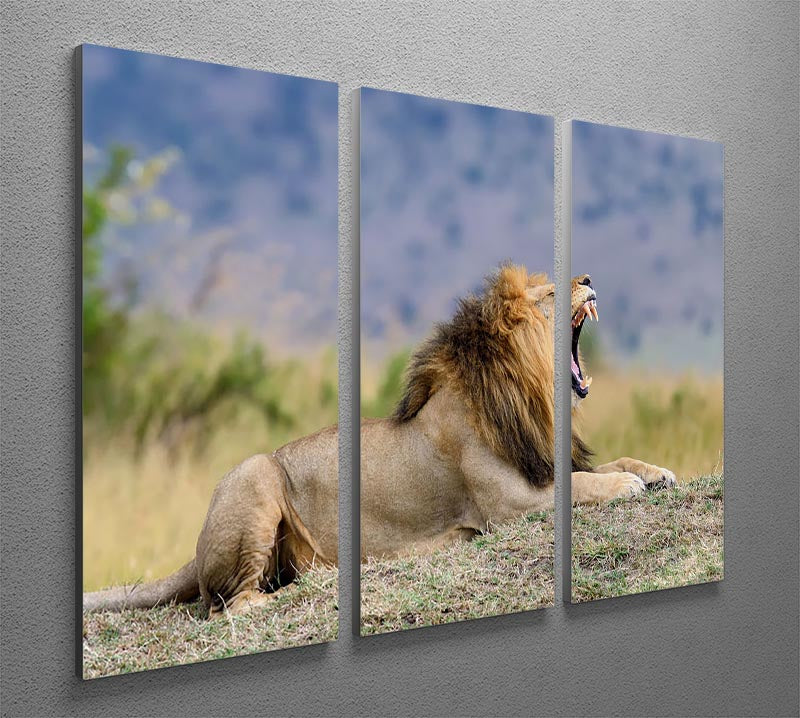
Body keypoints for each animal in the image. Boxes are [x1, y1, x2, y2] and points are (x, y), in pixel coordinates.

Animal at [83, 264, 675, 617]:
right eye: (553, 292)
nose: (587, 275)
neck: (532, 395)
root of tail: (196, 547)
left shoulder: (546, 465)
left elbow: (607, 463)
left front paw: (656, 472)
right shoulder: (510, 504)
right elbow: (584, 486)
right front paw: (627, 485)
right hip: (254, 474)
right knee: (228, 603)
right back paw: (300, 589)